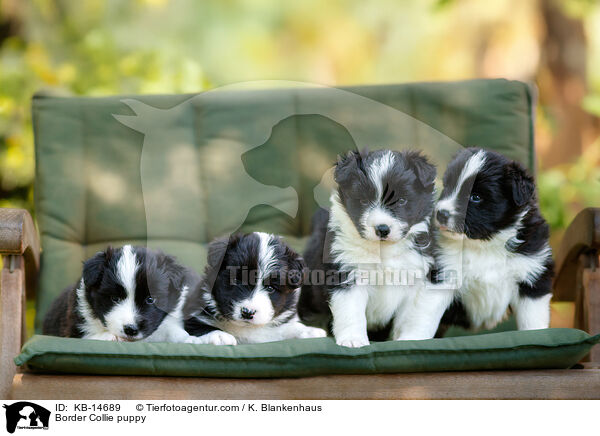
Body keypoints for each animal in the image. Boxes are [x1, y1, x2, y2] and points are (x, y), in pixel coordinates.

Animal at [42, 245, 203, 344]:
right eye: (115, 298)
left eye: (150, 299)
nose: (131, 329)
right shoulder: (74, 326)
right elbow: (89, 335)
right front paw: (108, 336)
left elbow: (172, 331)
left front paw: (190, 339)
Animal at [185, 230, 326, 346]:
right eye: (235, 280)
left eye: (270, 288)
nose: (248, 312)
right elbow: (198, 325)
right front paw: (220, 335)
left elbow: (289, 328)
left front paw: (310, 331)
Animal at [298, 150, 436, 348]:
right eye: (363, 200)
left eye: (402, 200)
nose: (382, 229)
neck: (382, 250)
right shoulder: (346, 273)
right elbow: (351, 311)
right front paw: (353, 340)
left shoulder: (415, 277)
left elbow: (410, 316)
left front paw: (409, 339)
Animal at [434, 146, 556, 330]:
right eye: (447, 186)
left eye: (475, 197)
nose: (440, 214)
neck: (485, 244)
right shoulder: (444, 273)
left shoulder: (532, 278)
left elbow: (532, 323)